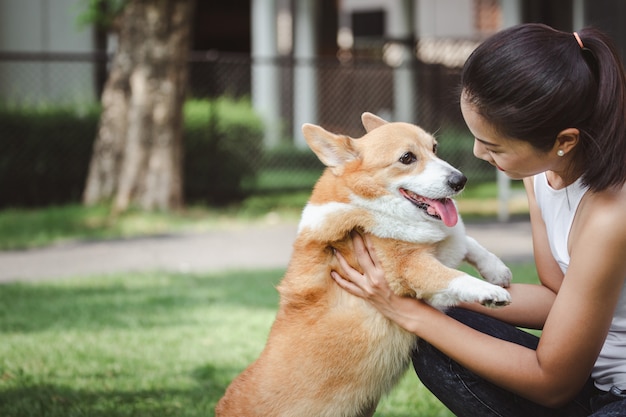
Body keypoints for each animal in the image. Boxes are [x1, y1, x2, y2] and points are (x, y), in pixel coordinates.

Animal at [217, 113, 510, 416]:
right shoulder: (408, 268)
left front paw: (496, 270)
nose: (460, 180)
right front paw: (490, 292)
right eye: (407, 158)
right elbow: (451, 274)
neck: (371, 204)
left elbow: (466, 241)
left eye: (435, 148)